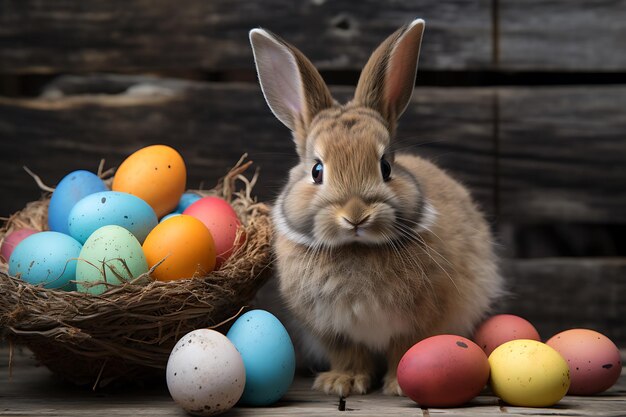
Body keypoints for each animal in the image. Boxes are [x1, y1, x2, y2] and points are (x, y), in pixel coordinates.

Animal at [247, 19, 502, 396]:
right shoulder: (333, 331)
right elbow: (350, 354)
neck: (357, 248)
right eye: (317, 170)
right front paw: (342, 382)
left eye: (386, 167)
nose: (356, 216)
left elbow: (405, 349)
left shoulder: (420, 322)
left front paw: (398, 385)